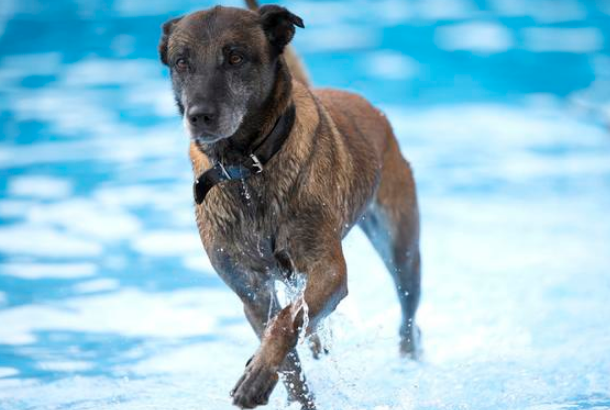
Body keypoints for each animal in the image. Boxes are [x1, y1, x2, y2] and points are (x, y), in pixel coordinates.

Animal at [159, 2, 420, 406]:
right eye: (181, 62)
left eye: (235, 57)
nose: (199, 115)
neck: (247, 169)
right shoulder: (252, 291)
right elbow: (288, 357)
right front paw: (280, 385)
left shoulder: (328, 270)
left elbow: (287, 322)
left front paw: (257, 375)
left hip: (401, 247)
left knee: (408, 313)